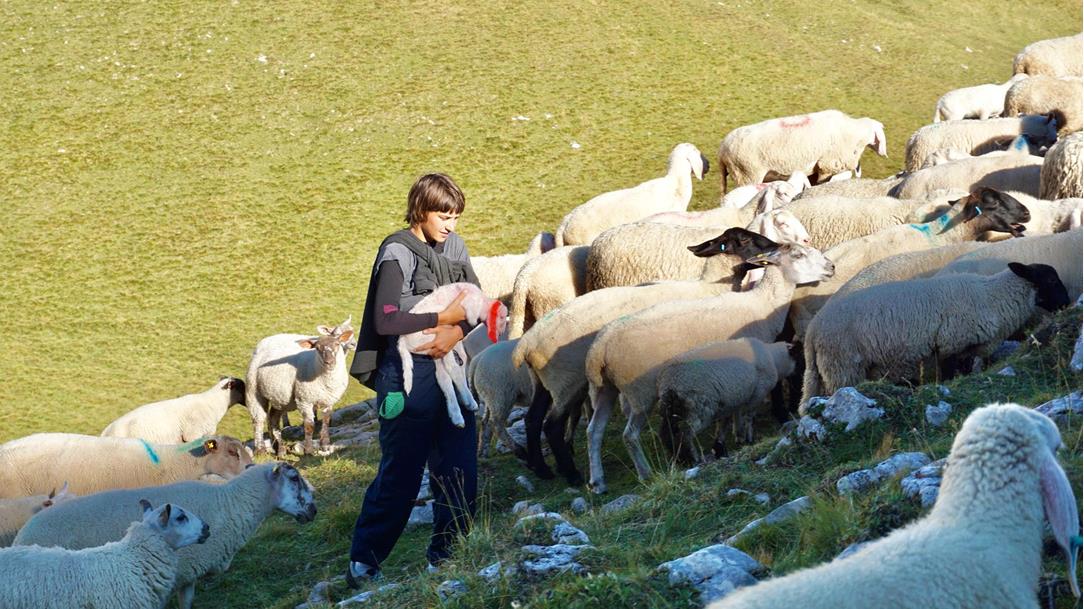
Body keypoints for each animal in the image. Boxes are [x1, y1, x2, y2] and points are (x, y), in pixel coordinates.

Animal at [245, 318, 354, 456]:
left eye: (337, 344)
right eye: (317, 348)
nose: (329, 362)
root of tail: (263, 342)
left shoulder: (329, 400)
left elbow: (326, 421)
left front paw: (325, 445)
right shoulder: (305, 400)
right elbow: (309, 425)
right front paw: (308, 450)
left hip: (280, 397)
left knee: (273, 418)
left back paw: (279, 449)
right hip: (253, 390)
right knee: (258, 419)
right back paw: (261, 450)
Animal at [397, 282, 508, 428]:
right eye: (501, 318)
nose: (501, 334)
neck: (481, 300)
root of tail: (403, 341)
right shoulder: (470, 307)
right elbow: (472, 319)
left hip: (434, 350)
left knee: (443, 376)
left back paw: (457, 415)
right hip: (436, 338)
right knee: (452, 369)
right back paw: (469, 400)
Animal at [657, 338, 795, 465]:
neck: (774, 359)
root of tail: (671, 383)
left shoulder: (731, 400)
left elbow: (726, 422)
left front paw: (729, 442)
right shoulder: (757, 394)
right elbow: (749, 418)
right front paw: (749, 439)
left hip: (673, 408)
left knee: (667, 433)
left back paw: (678, 458)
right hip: (699, 408)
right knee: (685, 434)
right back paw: (693, 458)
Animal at [802, 263, 1070, 405]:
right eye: (1051, 281)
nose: (1067, 303)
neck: (992, 297)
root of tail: (813, 330)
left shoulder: (968, 349)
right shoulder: (950, 344)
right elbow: (950, 375)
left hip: (826, 370)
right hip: (843, 366)